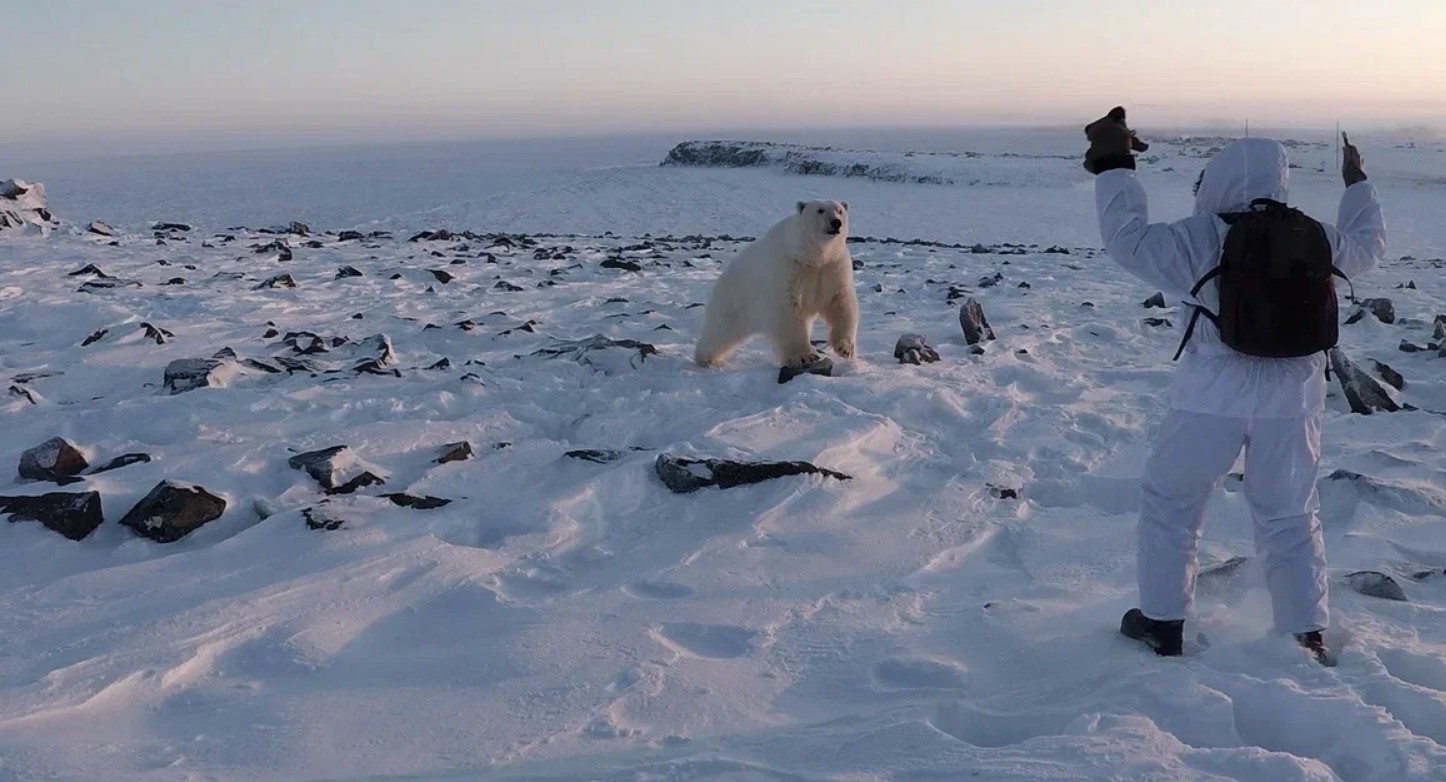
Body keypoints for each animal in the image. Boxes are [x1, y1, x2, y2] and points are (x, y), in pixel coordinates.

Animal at [691, 199, 850, 367]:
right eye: (820, 210)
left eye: (839, 210)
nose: (836, 222)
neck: (812, 256)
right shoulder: (788, 267)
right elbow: (788, 311)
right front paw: (804, 355)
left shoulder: (832, 267)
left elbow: (839, 303)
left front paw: (844, 348)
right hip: (734, 302)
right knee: (719, 331)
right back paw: (706, 358)